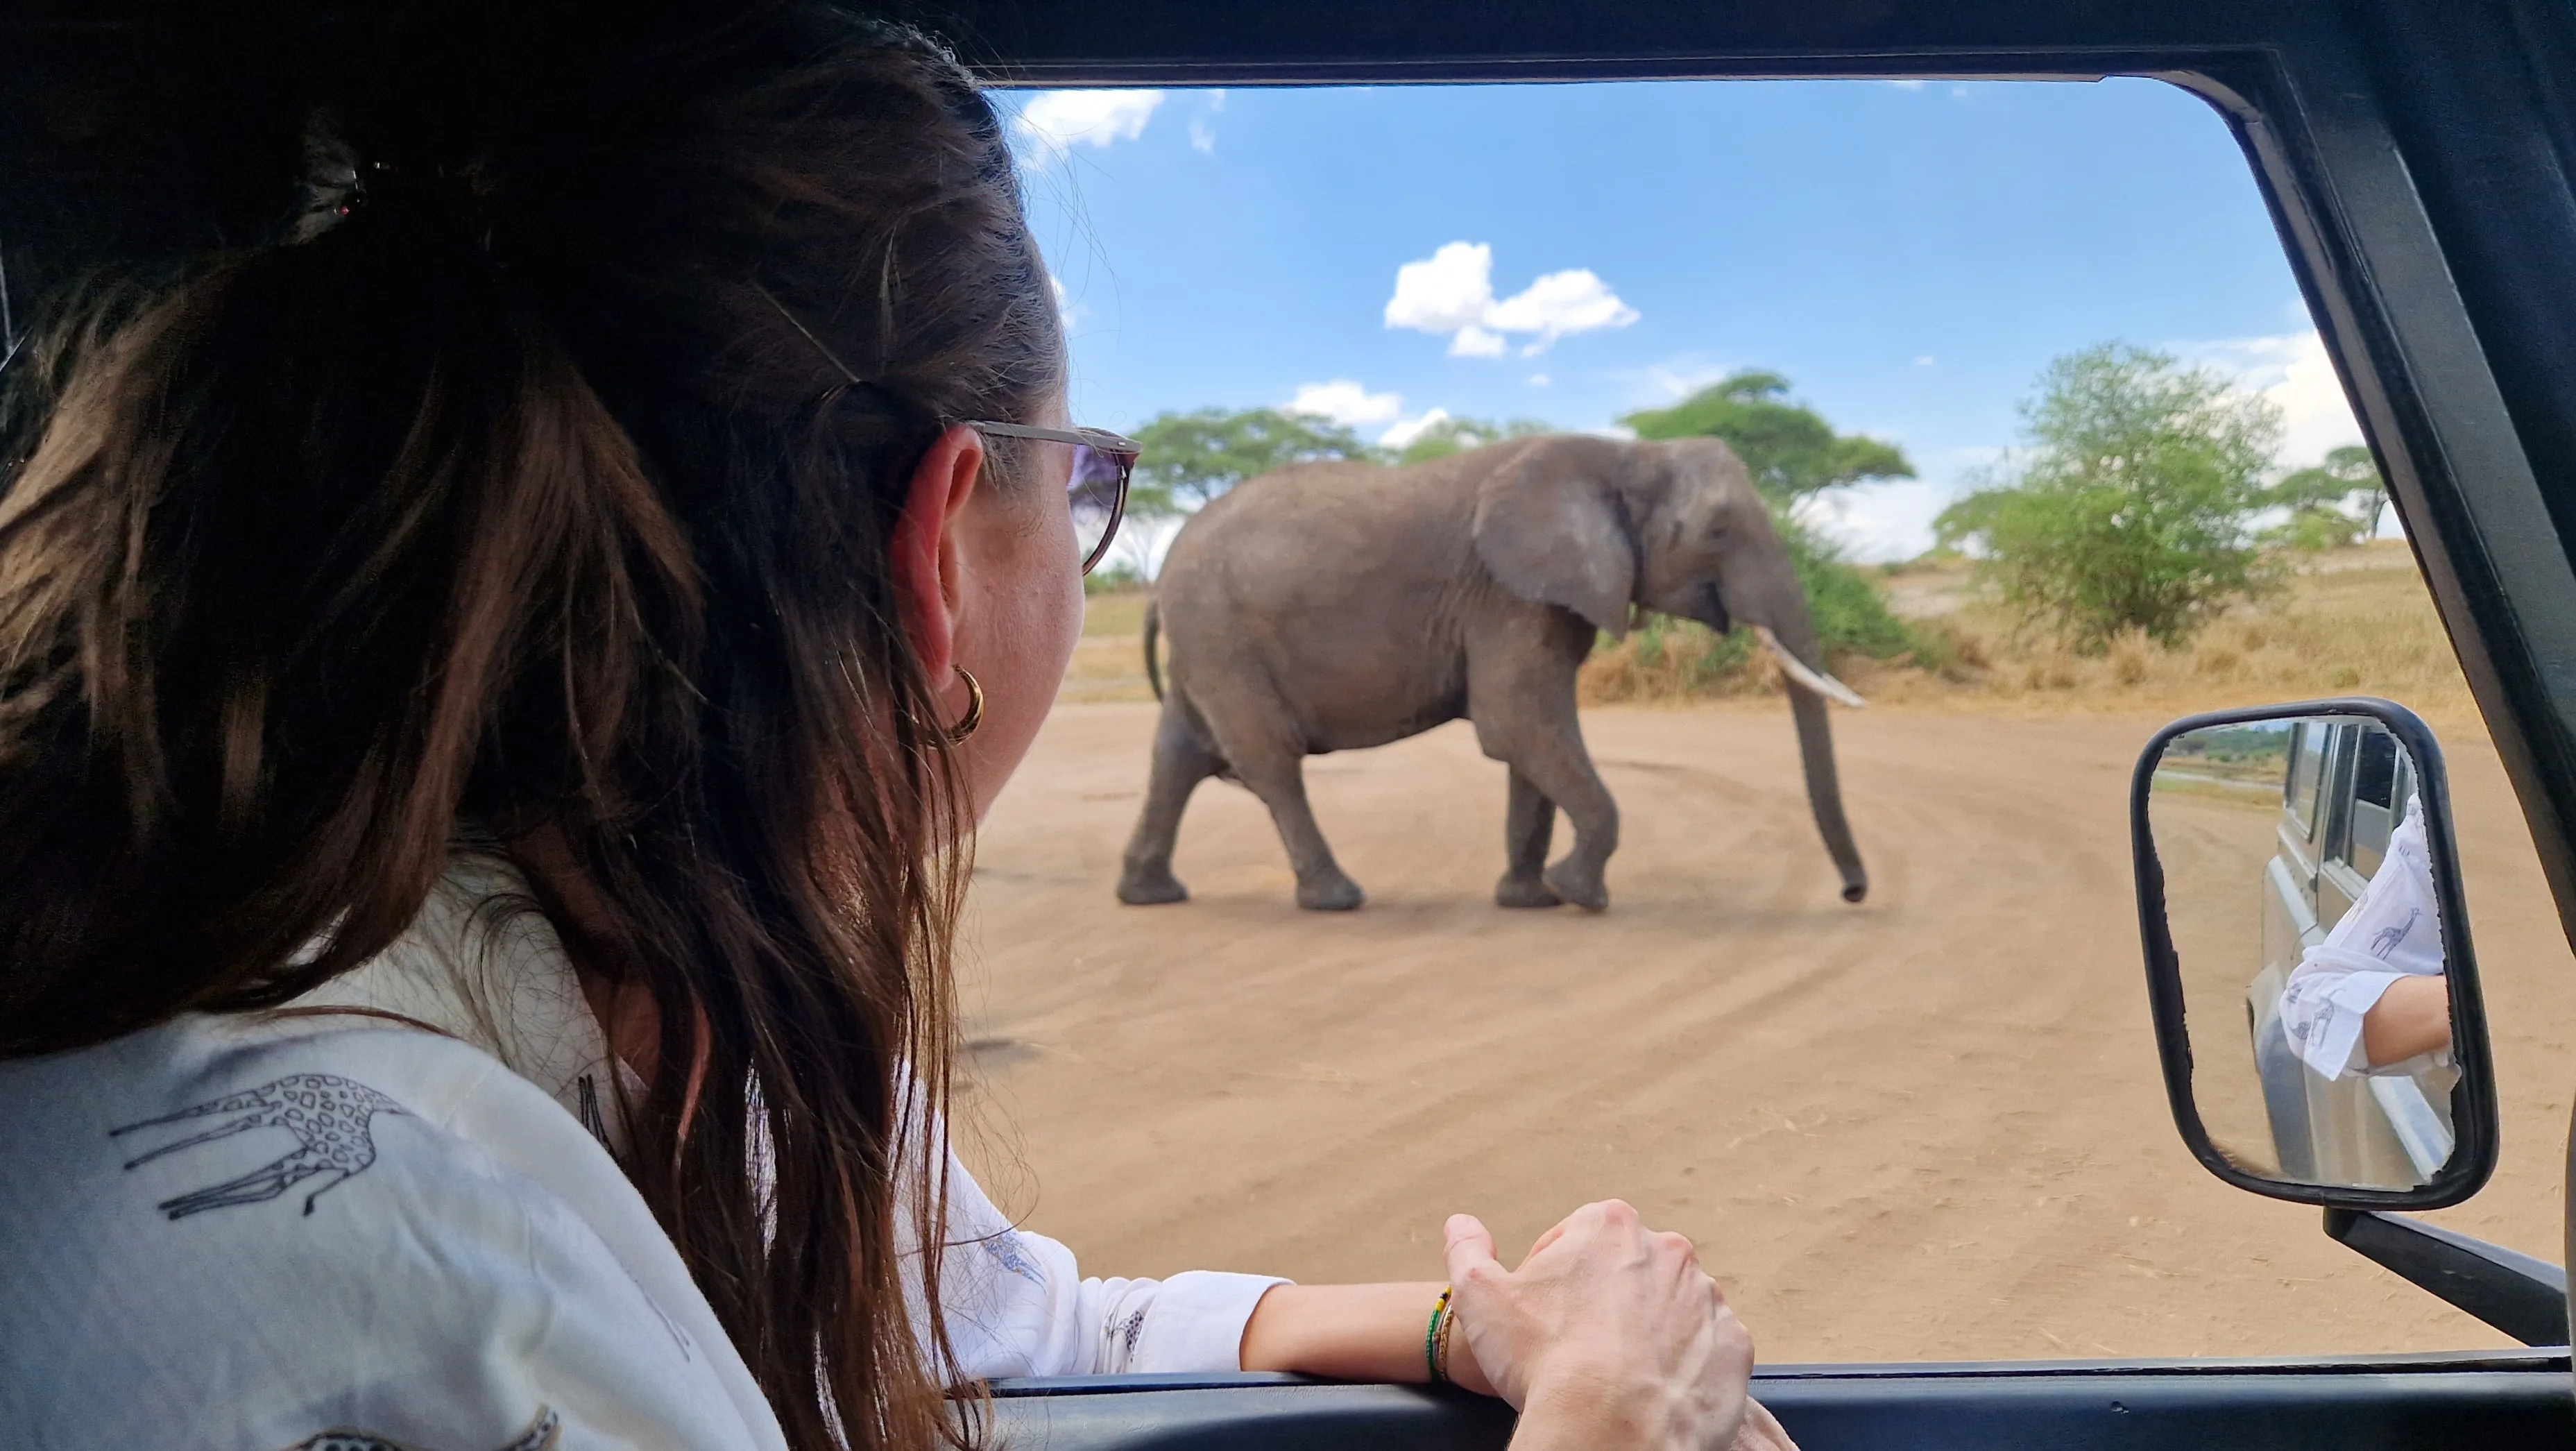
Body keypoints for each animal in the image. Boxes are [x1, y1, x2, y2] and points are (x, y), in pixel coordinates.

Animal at [1114, 433, 1869, 913]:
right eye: (1716, 531)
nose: (1853, 892)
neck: (1622, 454)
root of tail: (1162, 577)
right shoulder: (1507, 591)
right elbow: (1519, 723)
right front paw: (1579, 893)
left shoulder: (1541, 591)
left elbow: (1528, 742)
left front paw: (1530, 900)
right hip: (1223, 635)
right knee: (1269, 760)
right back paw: (1336, 900)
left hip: (1207, 642)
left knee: (1177, 755)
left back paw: (1150, 896)